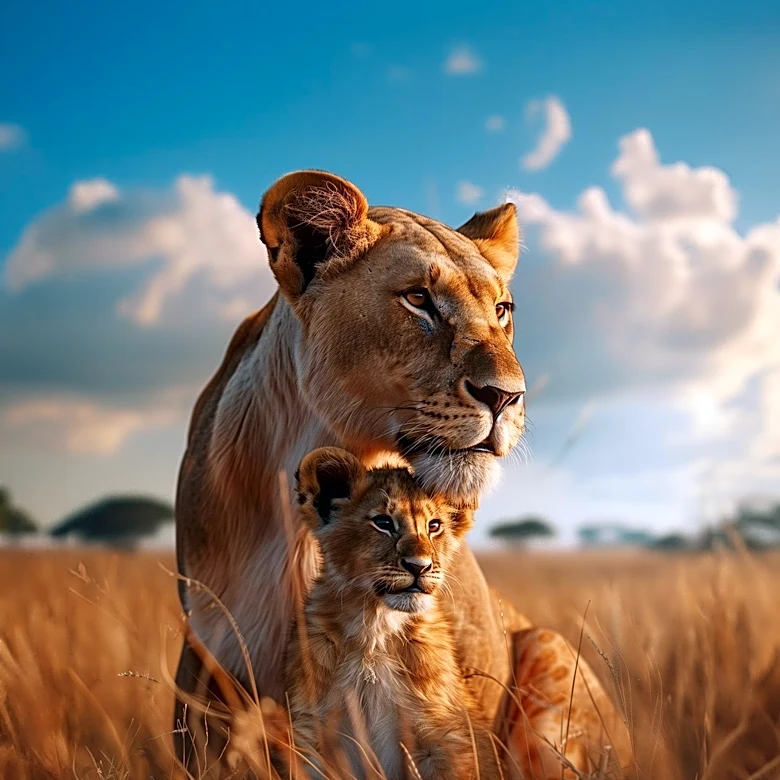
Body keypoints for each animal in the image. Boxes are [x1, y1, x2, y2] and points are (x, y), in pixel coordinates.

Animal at [286, 446, 501, 780]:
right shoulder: (312, 736)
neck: (374, 631)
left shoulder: (444, 737)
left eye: (434, 526)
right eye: (383, 522)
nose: (419, 566)